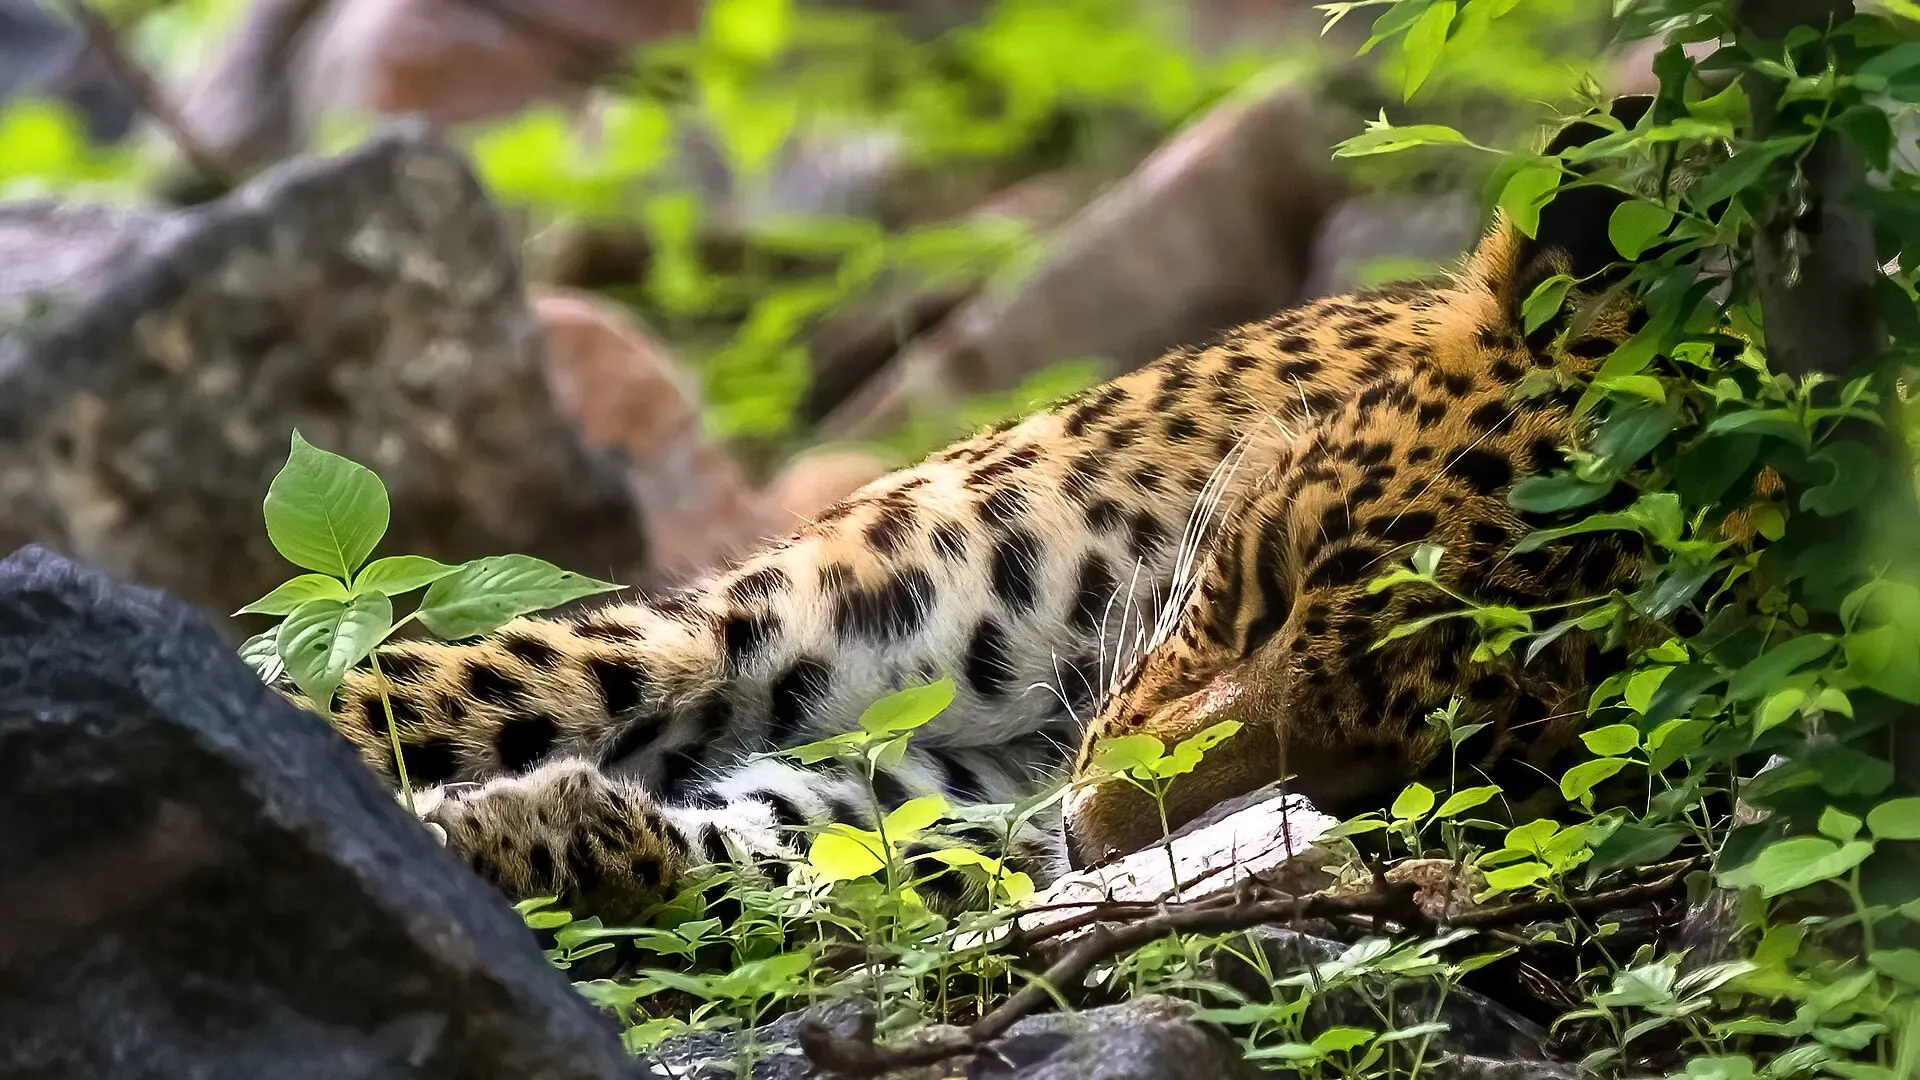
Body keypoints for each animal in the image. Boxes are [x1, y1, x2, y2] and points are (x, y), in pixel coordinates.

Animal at [306, 98, 1680, 921]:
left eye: (1423, 769)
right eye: (1268, 580)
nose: (1099, 833)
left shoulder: (937, 788)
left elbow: (787, 845)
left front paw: (516, 837)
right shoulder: (738, 629)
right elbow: (420, 690)